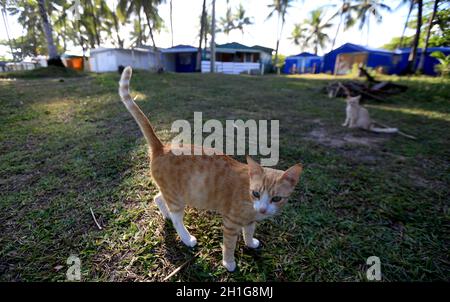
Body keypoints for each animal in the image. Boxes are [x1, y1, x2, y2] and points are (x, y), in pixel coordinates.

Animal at [118, 67, 304, 272]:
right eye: (256, 193)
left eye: (276, 198)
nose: (263, 210)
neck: (250, 203)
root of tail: (162, 147)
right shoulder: (231, 223)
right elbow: (229, 245)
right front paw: (229, 263)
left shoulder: (249, 221)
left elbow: (249, 231)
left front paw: (250, 243)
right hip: (177, 197)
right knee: (177, 218)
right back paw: (186, 237)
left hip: (173, 192)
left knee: (158, 198)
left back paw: (166, 213)